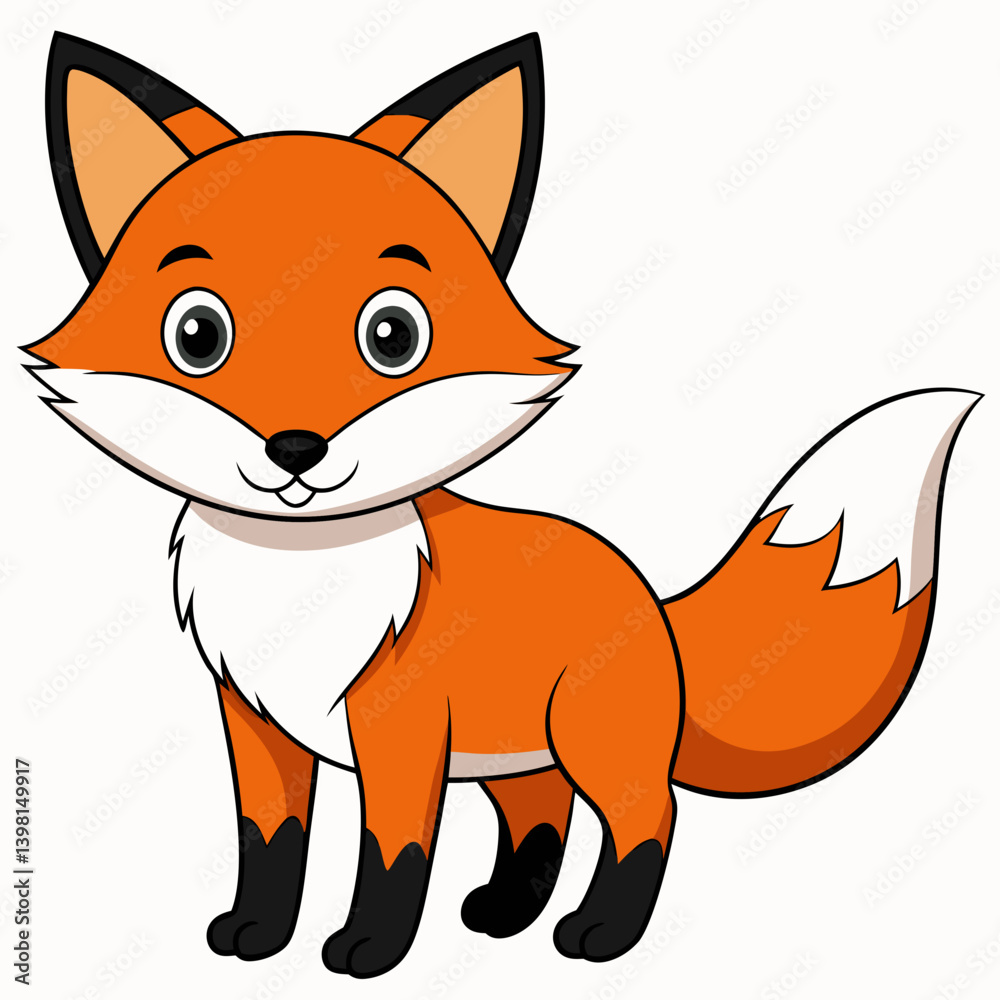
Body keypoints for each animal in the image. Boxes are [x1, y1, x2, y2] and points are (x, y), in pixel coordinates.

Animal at [24, 31, 979, 979]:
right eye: (197, 334)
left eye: (394, 335)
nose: (296, 449)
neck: (303, 580)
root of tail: (650, 598)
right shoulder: (255, 726)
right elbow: (269, 843)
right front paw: (256, 934)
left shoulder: (398, 729)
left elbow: (393, 853)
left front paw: (370, 950)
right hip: (521, 754)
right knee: (541, 816)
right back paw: (504, 913)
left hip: (595, 742)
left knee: (646, 818)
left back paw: (600, 934)